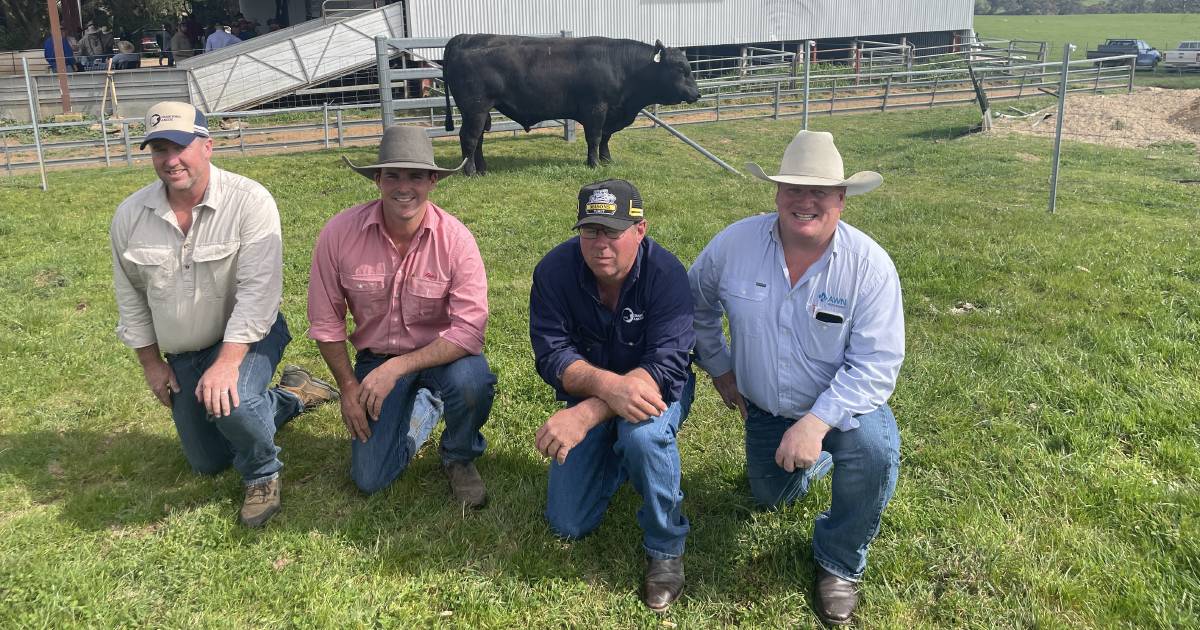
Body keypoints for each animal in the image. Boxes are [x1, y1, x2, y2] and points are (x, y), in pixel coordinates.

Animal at [441, 35, 700, 175]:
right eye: (680, 68)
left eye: (689, 67)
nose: (697, 94)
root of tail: (464, 37)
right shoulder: (596, 108)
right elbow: (595, 137)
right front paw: (594, 164)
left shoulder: (609, 112)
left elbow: (605, 138)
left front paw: (607, 160)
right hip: (475, 108)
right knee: (469, 138)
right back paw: (471, 172)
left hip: (480, 111)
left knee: (478, 139)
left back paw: (483, 168)